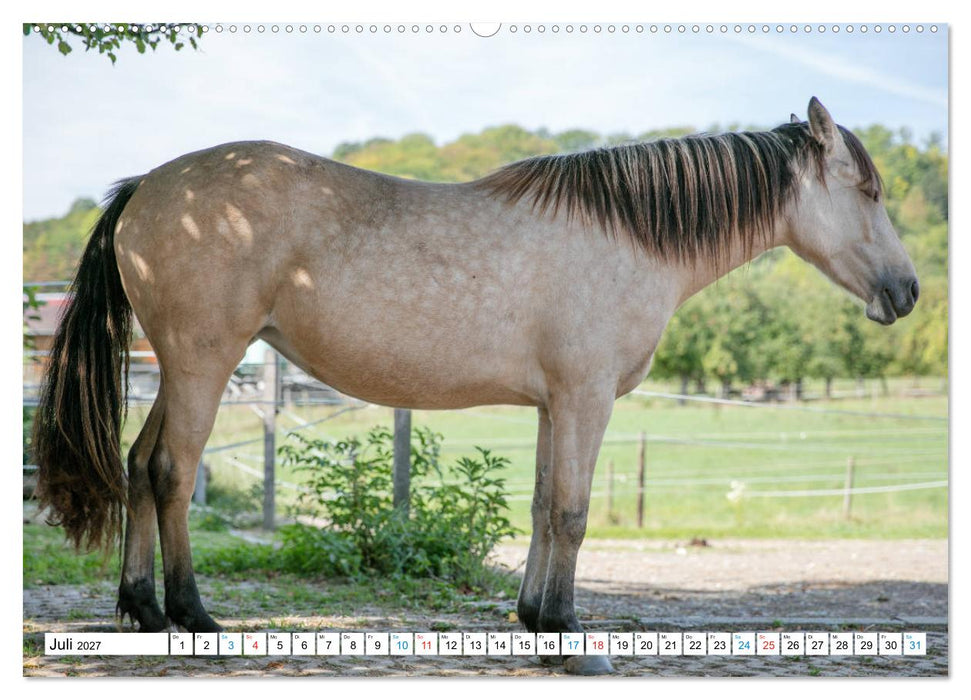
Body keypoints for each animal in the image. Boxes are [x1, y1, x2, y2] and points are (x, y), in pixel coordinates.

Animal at [33, 98, 918, 674]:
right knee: (170, 474)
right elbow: (572, 513)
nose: (906, 291)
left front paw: (534, 624)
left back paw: (142, 610)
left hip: (181, 371)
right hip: (203, 364)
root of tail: (149, 186)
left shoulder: (554, 405)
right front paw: (568, 638)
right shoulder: (586, 398)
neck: (629, 237)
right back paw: (190, 616)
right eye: (867, 190)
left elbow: (540, 507)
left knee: (137, 467)